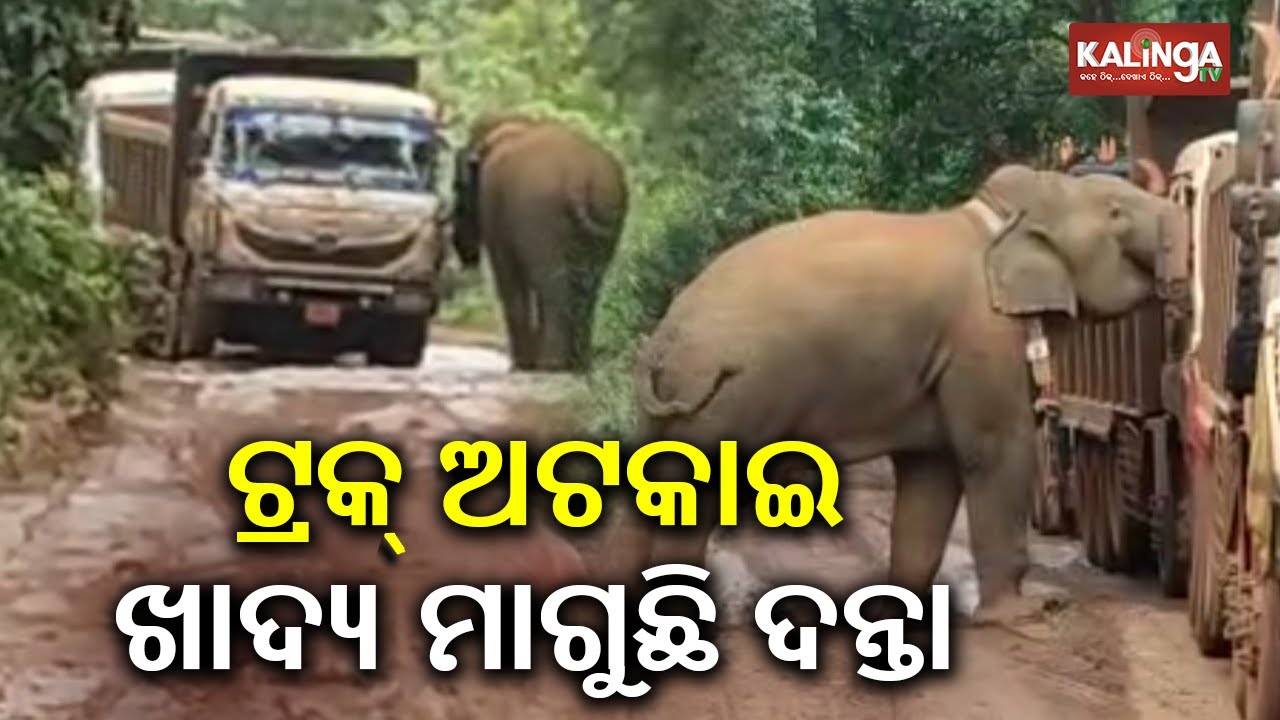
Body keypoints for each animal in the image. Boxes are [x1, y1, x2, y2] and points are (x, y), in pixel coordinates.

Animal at [451, 113, 628, 372]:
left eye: (458, 186)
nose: (465, 257)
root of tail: (579, 178)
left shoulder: (492, 201)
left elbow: (508, 276)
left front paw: (520, 366)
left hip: (540, 212)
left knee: (553, 284)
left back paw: (550, 365)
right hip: (607, 211)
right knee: (589, 286)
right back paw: (578, 365)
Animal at [606, 164, 1183, 625]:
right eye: (1116, 212)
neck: (994, 218)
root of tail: (660, 343)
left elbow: (932, 471)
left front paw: (898, 613)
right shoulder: (982, 337)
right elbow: (992, 450)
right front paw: (1029, 613)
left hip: (677, 406)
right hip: (725, 396)